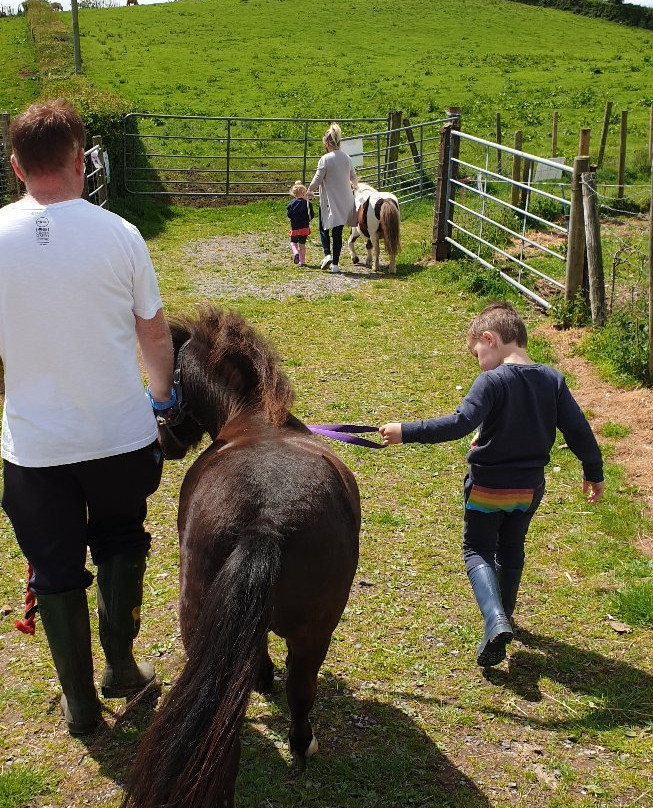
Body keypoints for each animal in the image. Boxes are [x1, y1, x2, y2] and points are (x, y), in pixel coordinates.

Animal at [119, 304, 360, 808]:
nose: (162, 444)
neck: (254, 417)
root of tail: (267, 517)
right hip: (313, 631)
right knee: (300, 688)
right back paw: (300, 744)